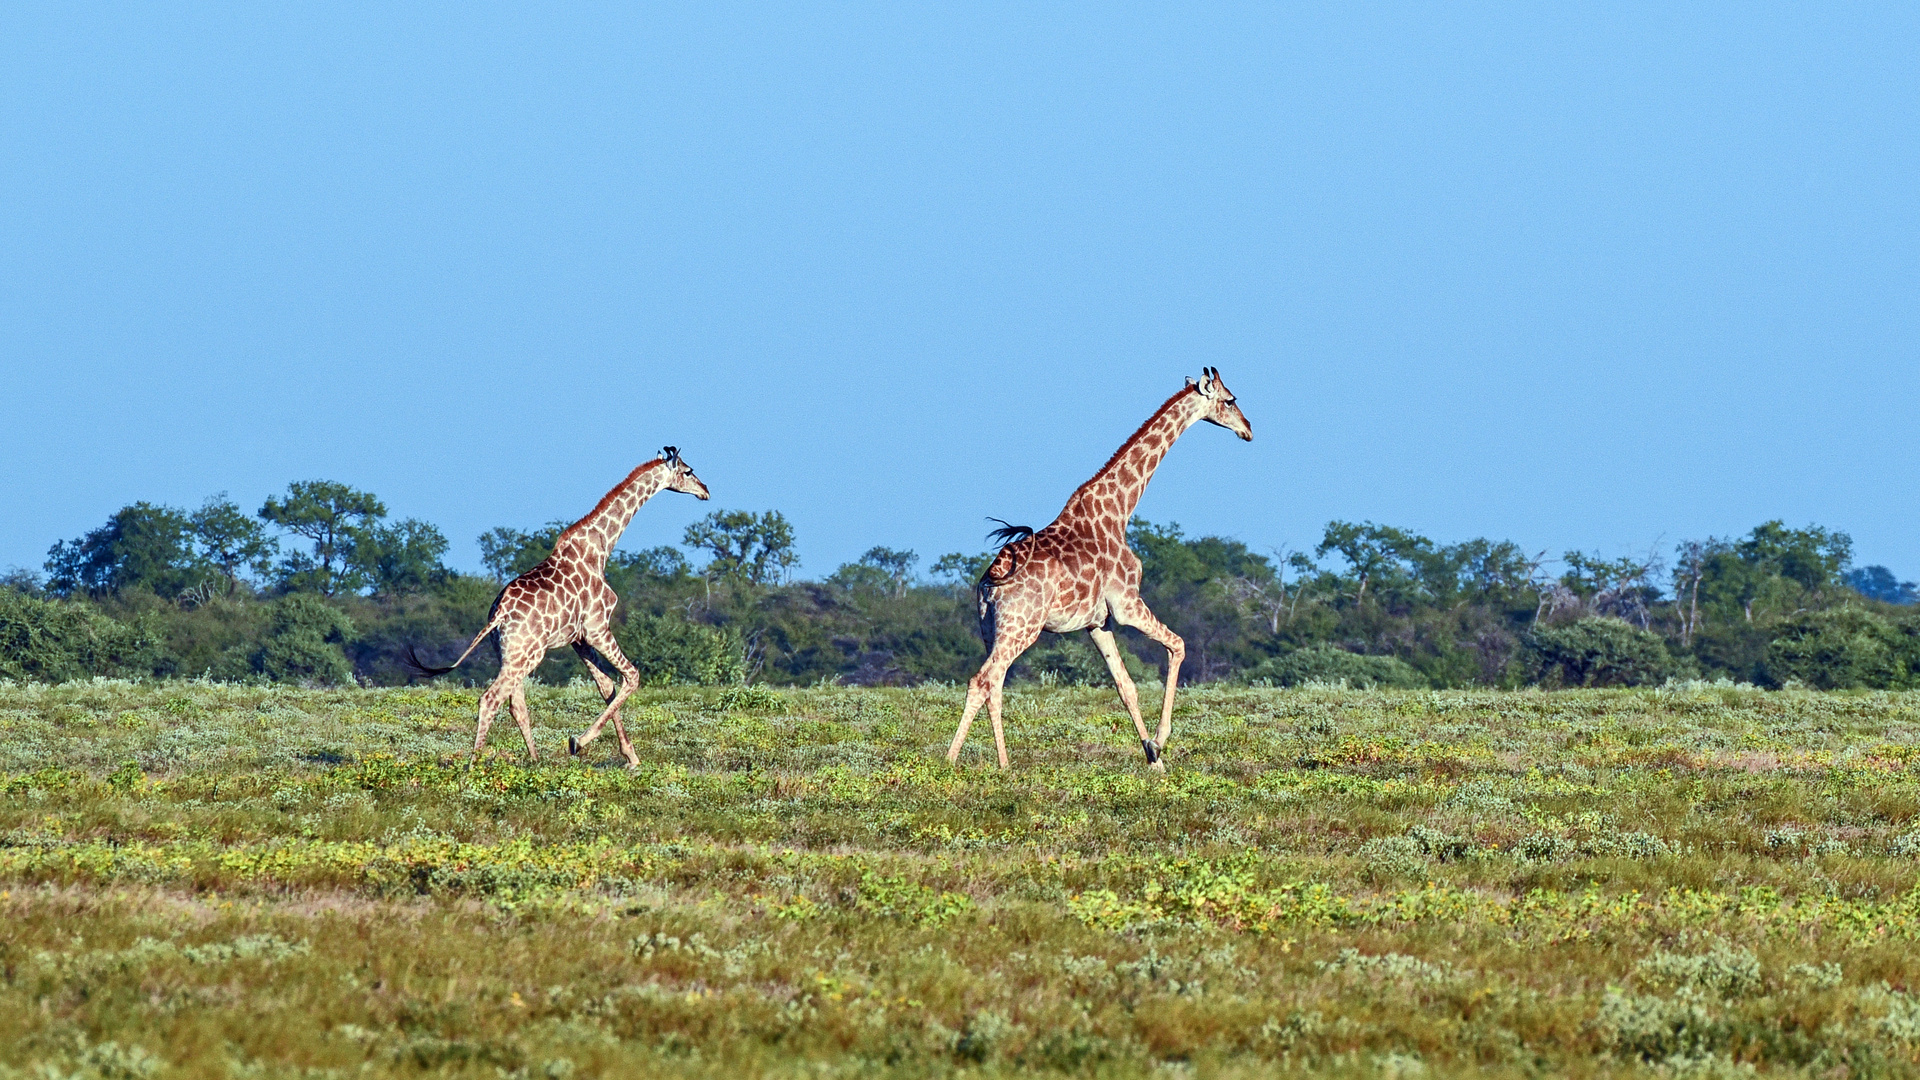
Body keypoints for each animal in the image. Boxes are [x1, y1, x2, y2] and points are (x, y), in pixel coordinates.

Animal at [408, 445, 710, 764]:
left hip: (509, 654)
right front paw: (581, 742)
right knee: (491, 698)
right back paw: (473, 765)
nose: (705, 491)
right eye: (688, 471)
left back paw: (535, 760)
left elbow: (607, 686)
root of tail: (498, 614)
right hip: (527, 655)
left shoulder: (579, 639)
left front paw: (628, 755)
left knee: (515, 704)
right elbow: (632, 677)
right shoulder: (597, 628)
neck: (601, 547)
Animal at [948, 367, 1251, 764]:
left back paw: (990, 764)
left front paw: (1154, 759)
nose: (1248, 428)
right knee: (983, 680)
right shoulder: (1127, 604)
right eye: (1230, 400)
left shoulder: (1097, 622)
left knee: (992, 684)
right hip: (1022, 627)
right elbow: (1179, 645)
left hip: (990, 629)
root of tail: (992, 579)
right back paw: (965, 763)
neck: (1121, 509)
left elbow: (1126, 686)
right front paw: (1160, 741)